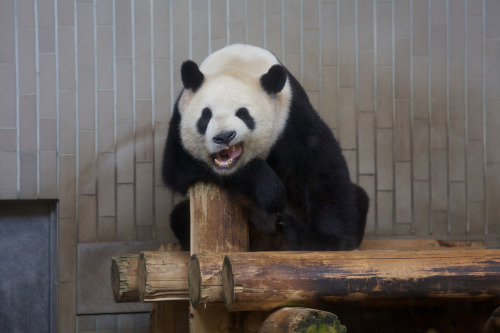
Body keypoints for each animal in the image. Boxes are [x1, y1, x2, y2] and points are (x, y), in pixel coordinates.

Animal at [162, 44, 370, 252]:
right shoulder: (180, 116)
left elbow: (320, 167)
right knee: (180, 217)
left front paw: (327, 240)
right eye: (206, 116)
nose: (224, 136)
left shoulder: (291, 117)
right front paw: (270, 192)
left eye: (243, 113)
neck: (237, 63)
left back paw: (292, 233)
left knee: (359, 198)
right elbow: (177, 165)